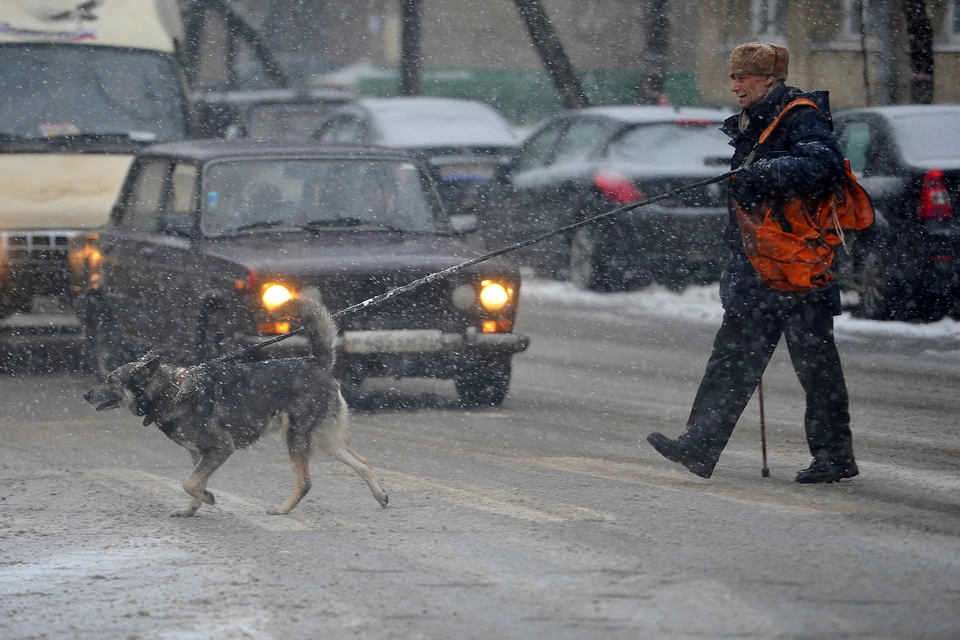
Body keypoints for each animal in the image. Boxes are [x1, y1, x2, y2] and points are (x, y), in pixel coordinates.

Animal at [84, 298, 388, 516]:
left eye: (111, 380)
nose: (87, 394)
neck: (172, 391)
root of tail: (315, 361)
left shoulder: (220, 448)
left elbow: (189, 483)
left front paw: (206, 498)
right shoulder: (199, 455)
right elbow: (193, 482)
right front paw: (192, 508)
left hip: (297, 438)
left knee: (305, 482)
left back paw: (283, 509)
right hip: (325, 439)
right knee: (362, 462)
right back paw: (380, 495)